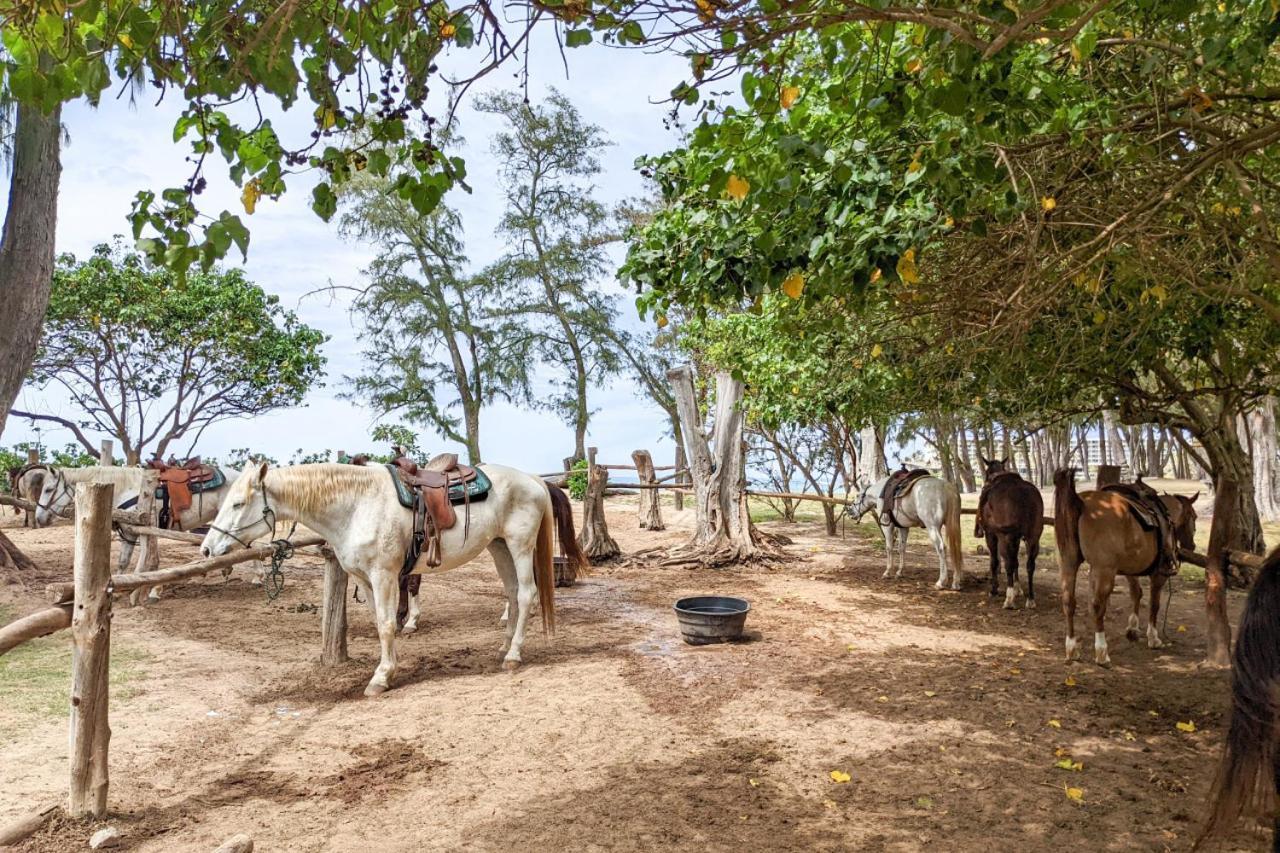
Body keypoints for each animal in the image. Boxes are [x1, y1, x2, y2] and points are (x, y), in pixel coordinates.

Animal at [198, 461, 581, 696]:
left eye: (238, 503)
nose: (207, 548)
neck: (355, 506)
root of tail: (533, 479)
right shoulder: (366, 579)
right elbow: (380, 622)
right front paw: (389, 667)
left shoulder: (384, 575)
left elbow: (385, 624)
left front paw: (380, 678)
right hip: (498, 546)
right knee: (513, 592)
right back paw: (504, 646)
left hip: (519, 545)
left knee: (526, 594)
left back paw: (513, 655)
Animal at [972, 455, 1044, 607]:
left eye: (986, 473)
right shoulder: (1017, 538)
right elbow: (1016, 562)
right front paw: (1018, 589)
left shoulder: (991, 535)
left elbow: (995, 562)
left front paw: (995, 589)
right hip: (1033, 537)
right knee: (1030, 565)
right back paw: (1030, 598)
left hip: (1005, 537)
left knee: (1008, 563)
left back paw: (1009, 599)